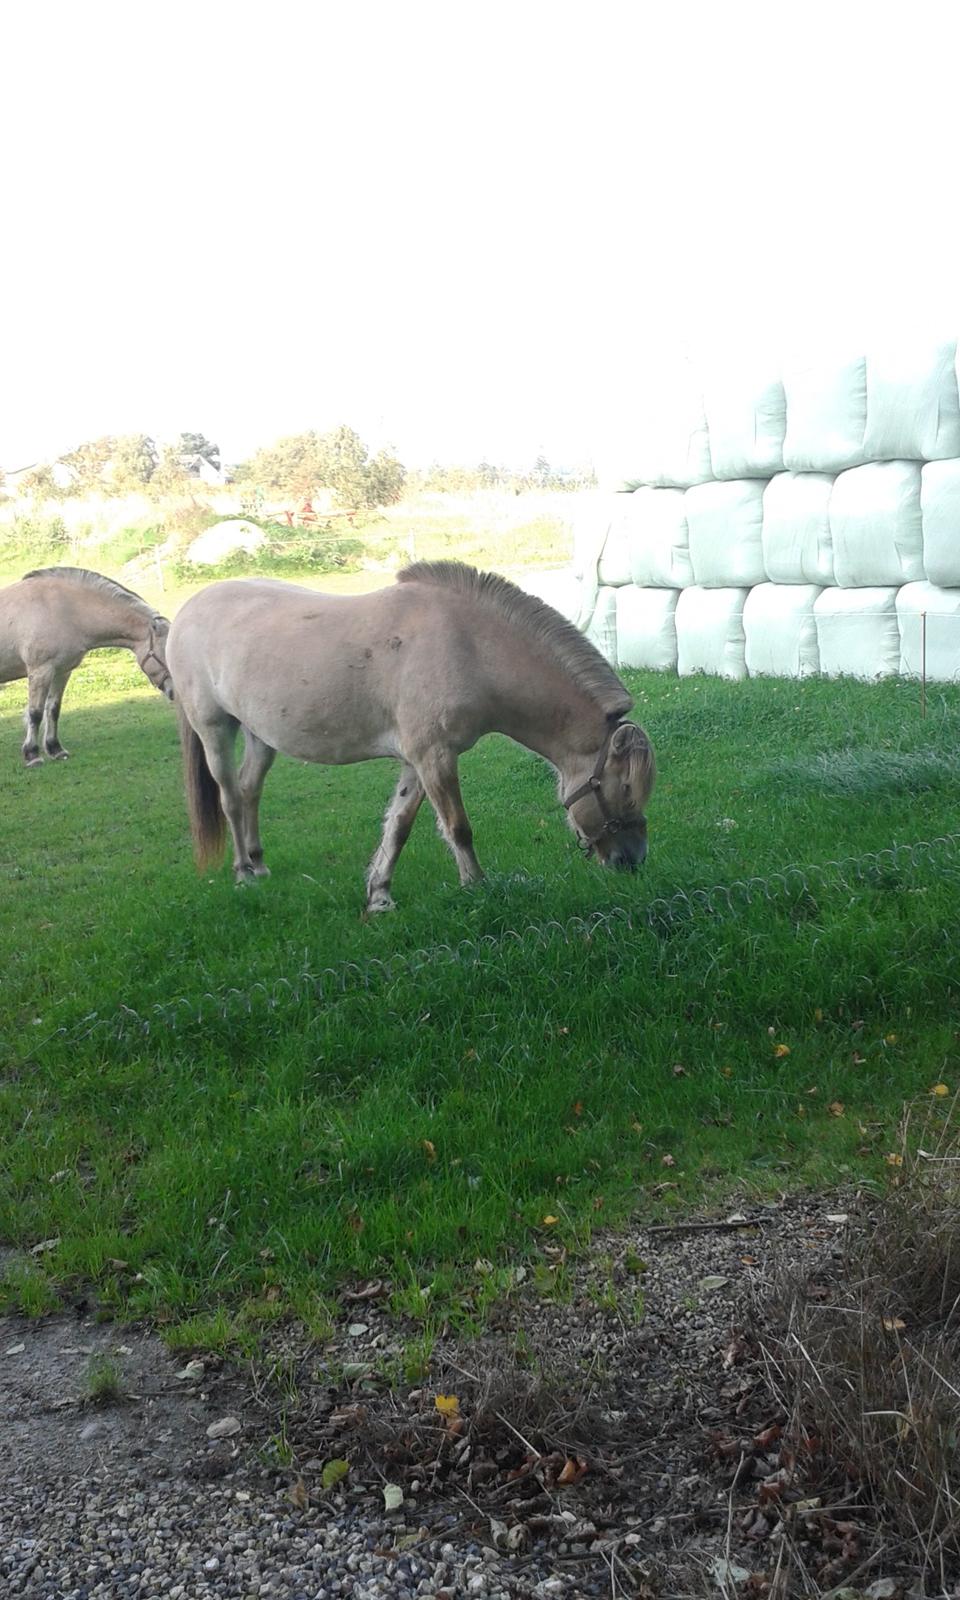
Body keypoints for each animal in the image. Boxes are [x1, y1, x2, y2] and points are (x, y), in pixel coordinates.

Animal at [0, 566, 174, 764]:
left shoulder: (61, 672)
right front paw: (32, 754)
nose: (174, 692)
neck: (62, 609)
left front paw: (55, 749)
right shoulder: (40, 671)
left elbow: (53, 709)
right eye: (165, 654)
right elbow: (35, 713)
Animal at [168, 563, 656, 915]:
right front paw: (476, 886)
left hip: (260, 735)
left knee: (250, 789)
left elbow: (398, 827)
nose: (633, 861)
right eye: (624, 790)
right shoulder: (434, 756)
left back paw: (259, 862)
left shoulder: (417, 762)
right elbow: (458, 827)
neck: (470, 647)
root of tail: (187, 610)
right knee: (231, 798)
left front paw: (380, 896)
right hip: (214, 728)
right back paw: (243, 873)